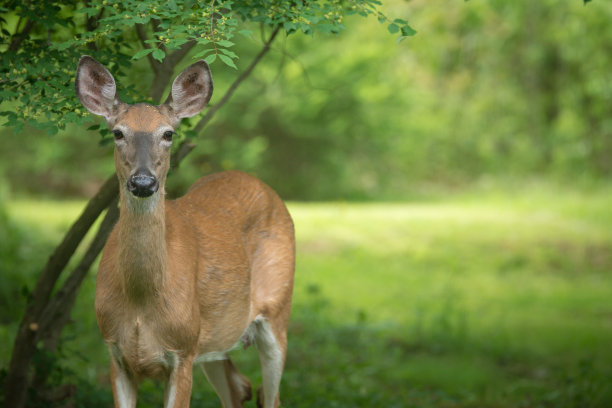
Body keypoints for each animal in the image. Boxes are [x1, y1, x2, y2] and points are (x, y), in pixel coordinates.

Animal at [75, 55, 296, 408]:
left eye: (168, 134)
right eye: (118, 133)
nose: (143, 182)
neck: (141, 299)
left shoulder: (183, 351)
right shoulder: (115, 352)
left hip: (277, 311)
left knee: (270, 395)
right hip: (215, 337)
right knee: (239, 388)